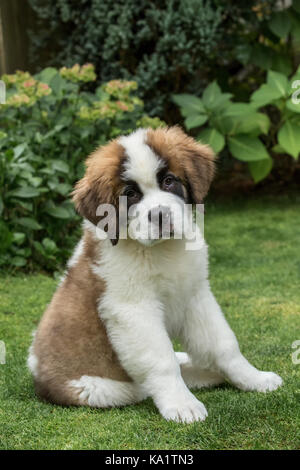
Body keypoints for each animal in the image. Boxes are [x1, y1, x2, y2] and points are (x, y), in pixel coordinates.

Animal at [27, 126, 282, 424]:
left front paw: (254, 379)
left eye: (169, 181)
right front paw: (182, 404)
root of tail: (37, 376)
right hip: (104, 389)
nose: (160, 215)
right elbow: (162, 361)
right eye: (130, 194)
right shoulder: (134, 310)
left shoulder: (195, 295)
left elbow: (224, 344)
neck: (162, 250)